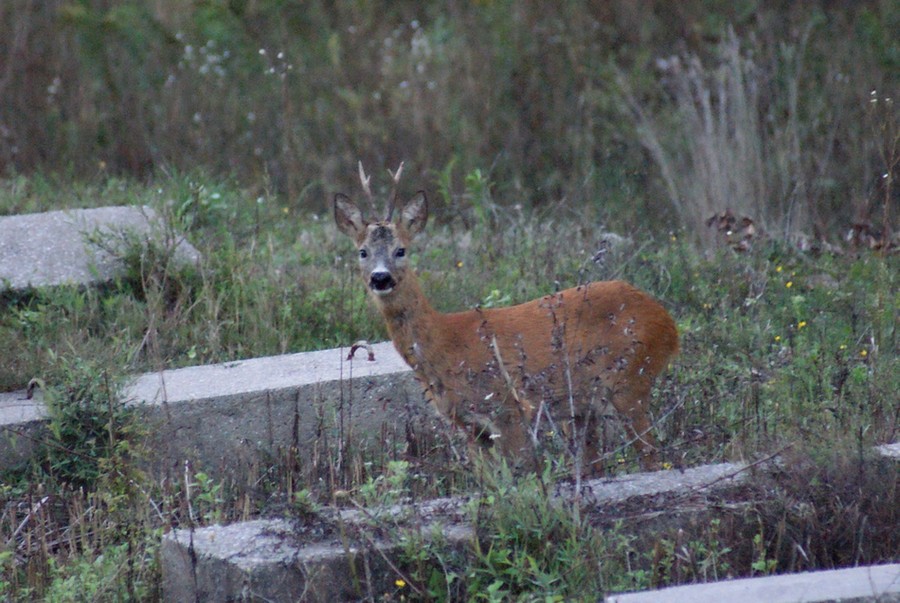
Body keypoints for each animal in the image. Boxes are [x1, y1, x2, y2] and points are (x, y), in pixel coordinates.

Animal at [334, 163, 680, 474]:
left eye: (401, 250)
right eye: (362, 252)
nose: (381, 278)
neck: (444, 345)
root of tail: (668, 321)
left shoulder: (510, 406)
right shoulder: (468, 425)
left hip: (631, 379)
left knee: (651, 456)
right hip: (585, 405)